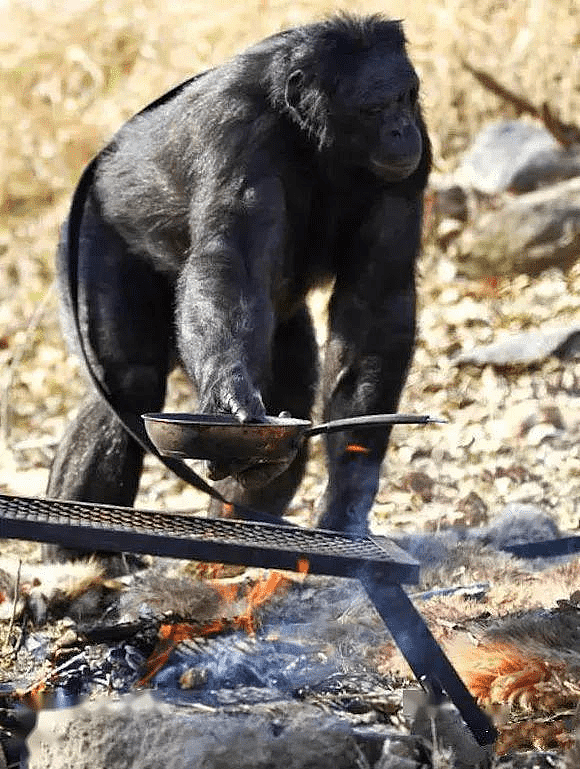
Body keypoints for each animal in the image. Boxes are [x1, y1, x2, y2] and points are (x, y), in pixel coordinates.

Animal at [46, 12, 430, 540]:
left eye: (405, 97)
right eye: (374, 107)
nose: (399, 128)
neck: (310, 137)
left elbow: (376, 301)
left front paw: (348, 496)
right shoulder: (235, 130)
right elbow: (232, 260)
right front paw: (229, 402)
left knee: (288, 385)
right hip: (88, 235)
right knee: (128, 379)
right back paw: (80, 552)